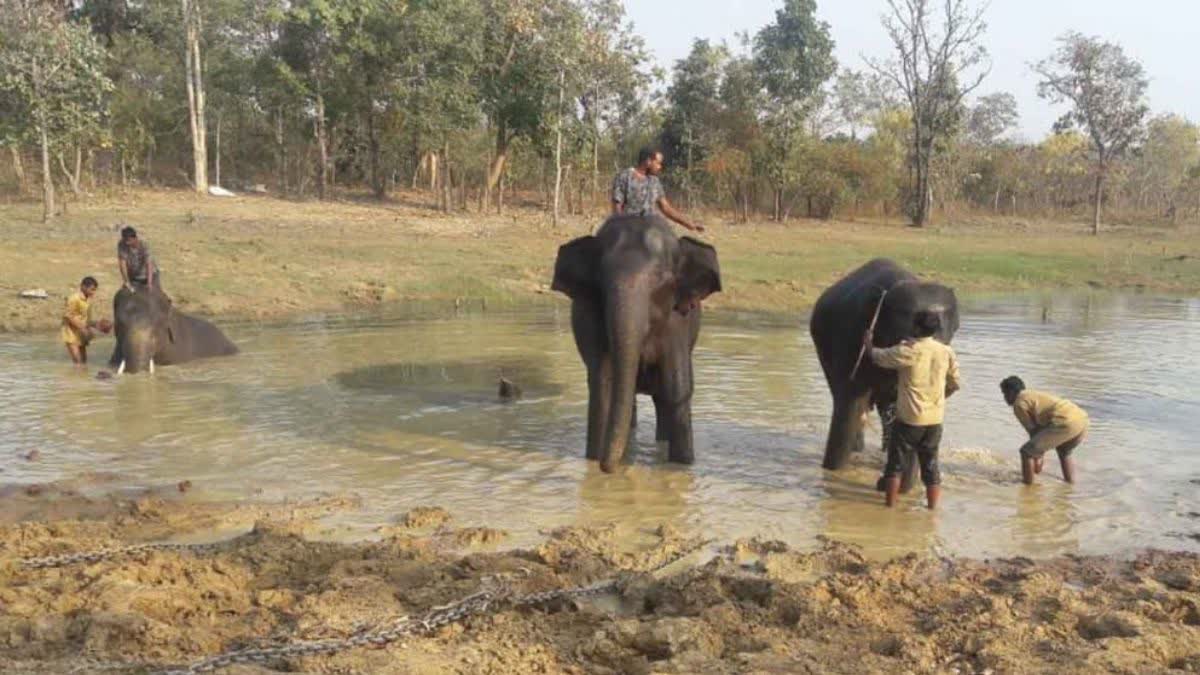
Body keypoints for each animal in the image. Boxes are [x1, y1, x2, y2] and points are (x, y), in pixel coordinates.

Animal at [552, 212, 720, 470]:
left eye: (662, 281)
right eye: (601, 279)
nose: (606, 468)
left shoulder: (677, 322)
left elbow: (677, 387)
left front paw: (683, 466)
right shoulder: (592, 319)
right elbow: (603, 384)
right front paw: (594, 461)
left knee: (663, 396)